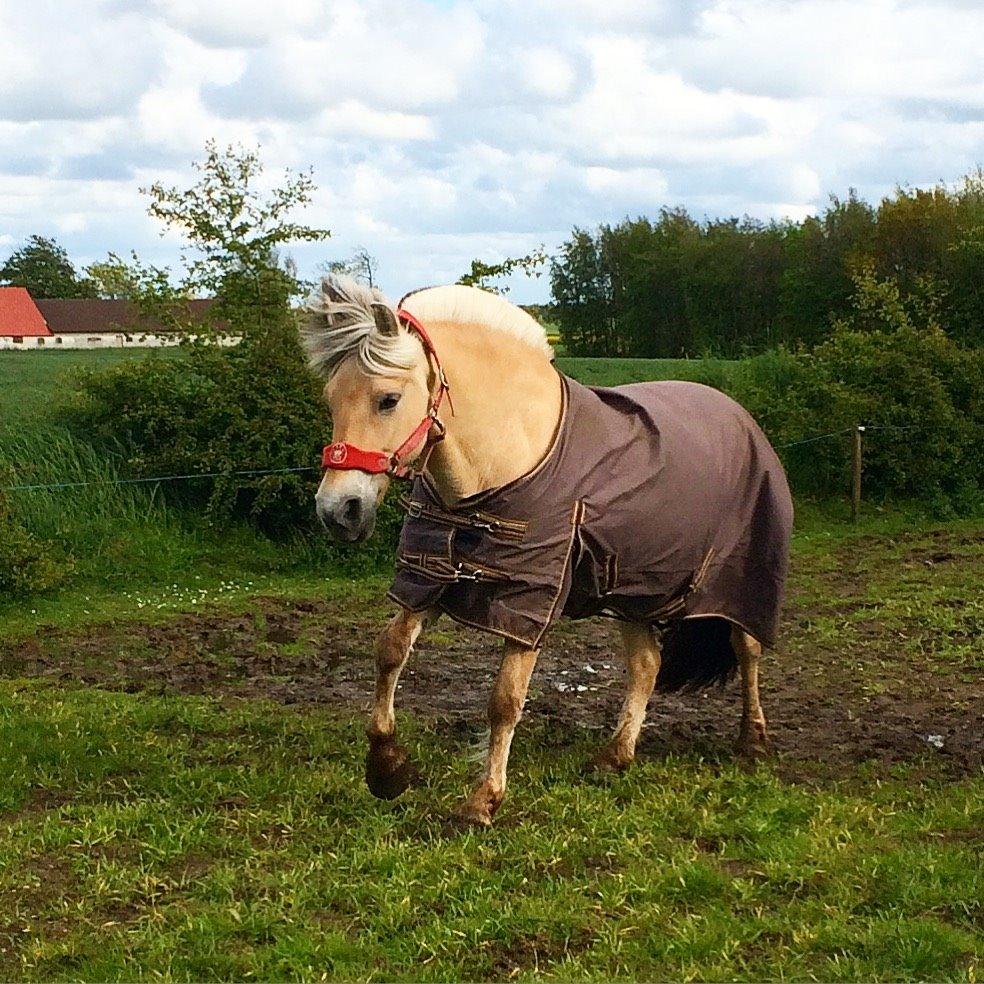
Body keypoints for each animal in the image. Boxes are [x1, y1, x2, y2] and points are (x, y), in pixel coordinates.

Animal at [300, 276, 792, 832]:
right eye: (330, 399)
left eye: (387, 399)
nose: (338, 510)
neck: (506, 456)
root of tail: (740, 416)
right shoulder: (430, 577)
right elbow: (389, 652)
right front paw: (387, 769)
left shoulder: (529, 596)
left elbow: (505, 699)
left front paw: (483, 800)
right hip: (635, 586)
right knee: (646, 664)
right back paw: (614, 756)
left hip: (737, 582)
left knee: (746, 648)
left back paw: (751, 740)